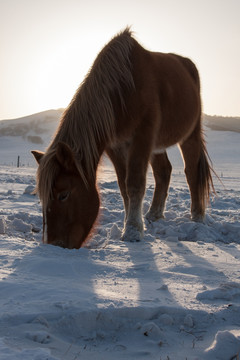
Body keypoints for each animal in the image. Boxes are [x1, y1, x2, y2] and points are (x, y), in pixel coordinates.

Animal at [31, 28, 214, 249]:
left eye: (63, 194)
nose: (54, 244)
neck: (123, 90)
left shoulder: (141, 138)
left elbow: (134, 184)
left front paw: (133, 232)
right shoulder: (115, 146)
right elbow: (123, 186)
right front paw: (132, 224)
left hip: (189, 135)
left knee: (191, 172)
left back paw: (197, 217)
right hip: (157, 146)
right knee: (163, 172)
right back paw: (153, 215)